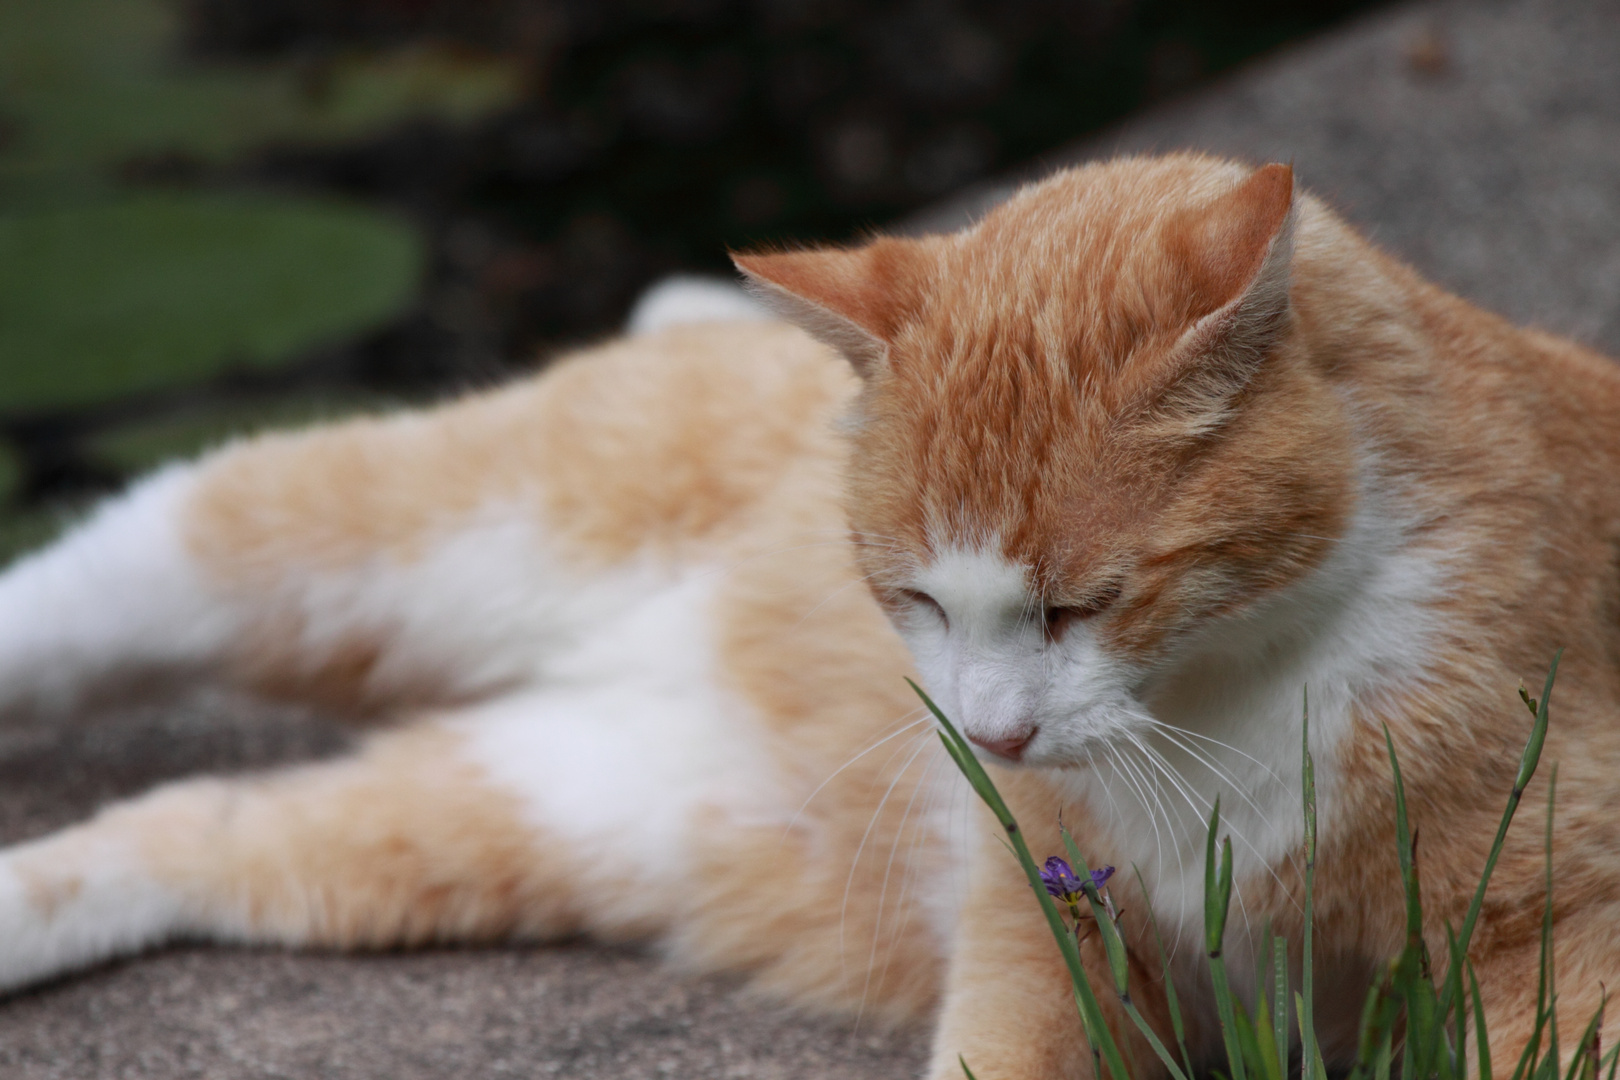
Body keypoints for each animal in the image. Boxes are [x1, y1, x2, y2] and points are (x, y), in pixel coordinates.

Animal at [3, 153, 1620, 1080]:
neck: (1238, 692)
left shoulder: (1558, 925)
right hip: (335, 529)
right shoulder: (1043, 908)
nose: (990, 734)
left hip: (546, 810)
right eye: (910, 593)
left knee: (204, 824)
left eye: (1082, 605)